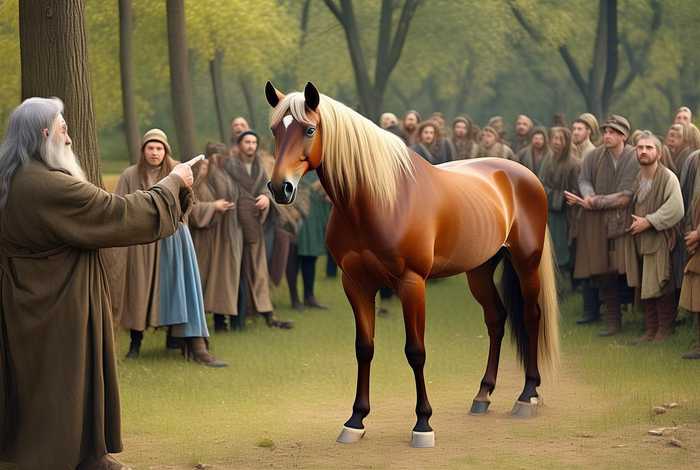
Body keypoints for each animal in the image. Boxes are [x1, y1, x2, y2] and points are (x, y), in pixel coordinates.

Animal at [264, 81, 560, 448]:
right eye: (275, 130)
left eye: (309, 129)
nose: (280, 187)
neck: (378, 199)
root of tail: (523, 174)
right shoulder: (356, 283)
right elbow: (364, 348)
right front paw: (355, 420)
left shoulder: (412, 282)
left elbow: (415, 351)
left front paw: (423, 424)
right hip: (479, 270)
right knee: (496, 319)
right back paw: (483, 395)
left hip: (525, 262)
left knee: (531, 316)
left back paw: (527, 395)